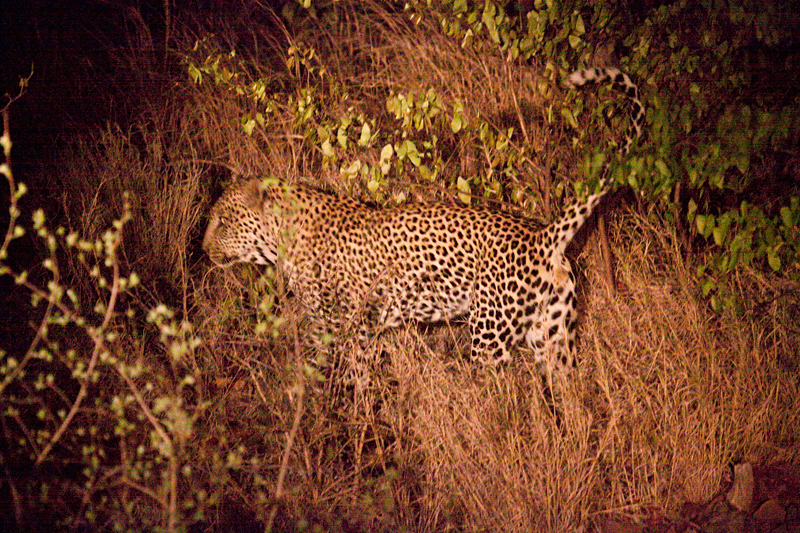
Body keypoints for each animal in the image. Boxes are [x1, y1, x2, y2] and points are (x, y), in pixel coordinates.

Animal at [202, 66, 644, 374]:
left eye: (222, 222)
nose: (203, 250)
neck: (282, 240)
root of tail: (541, 236)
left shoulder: (348, 329)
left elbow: (349, 384)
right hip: (552, 335)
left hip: (491, 334)